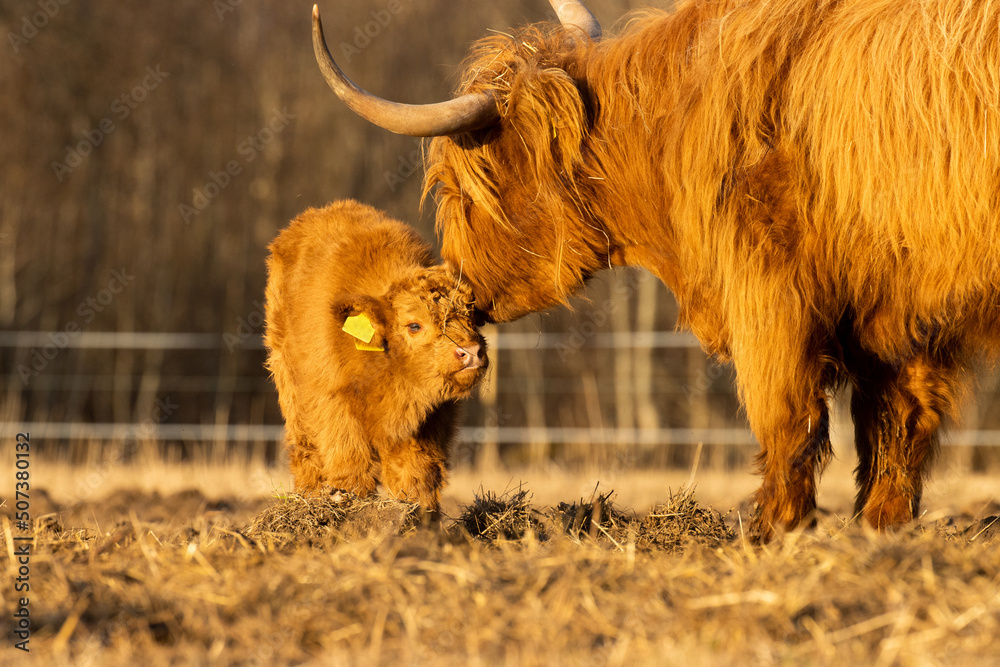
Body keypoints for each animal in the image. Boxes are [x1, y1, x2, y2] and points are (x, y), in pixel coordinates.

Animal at [264, 200, 487, 512]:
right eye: (414, 325)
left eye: (471, 316)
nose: (472, 352)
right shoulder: (334, 405)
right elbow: (350, 468)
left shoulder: (431, 421)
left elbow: (417, 475)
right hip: (289, 381)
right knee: (305, 449)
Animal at [310, 0, 1000, 541]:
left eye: (461, 188)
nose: (460, 290)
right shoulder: (903, 311)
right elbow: (897, 428)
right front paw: (879, 533)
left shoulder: (770, 291)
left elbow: (788, 415)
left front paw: (770, 532)